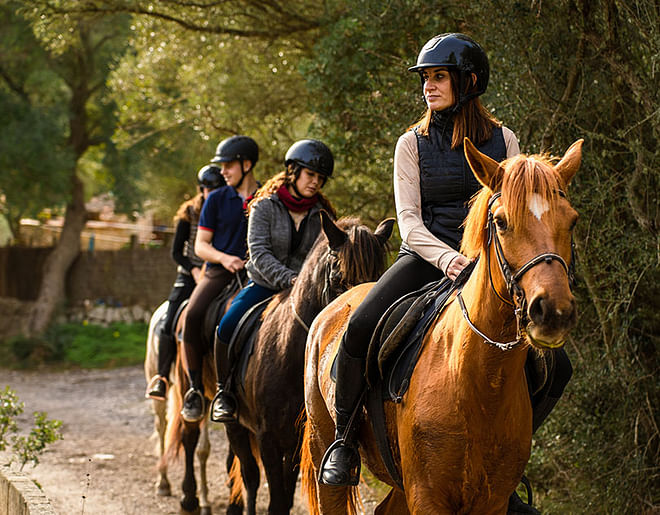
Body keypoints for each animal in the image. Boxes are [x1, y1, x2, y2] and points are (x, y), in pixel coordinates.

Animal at [300, 139, 584, 512]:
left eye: (572, 221)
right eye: (501, 221)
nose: (552, 311)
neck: (479, 378)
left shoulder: (492, 501)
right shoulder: (427, 496)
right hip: (325, 448)